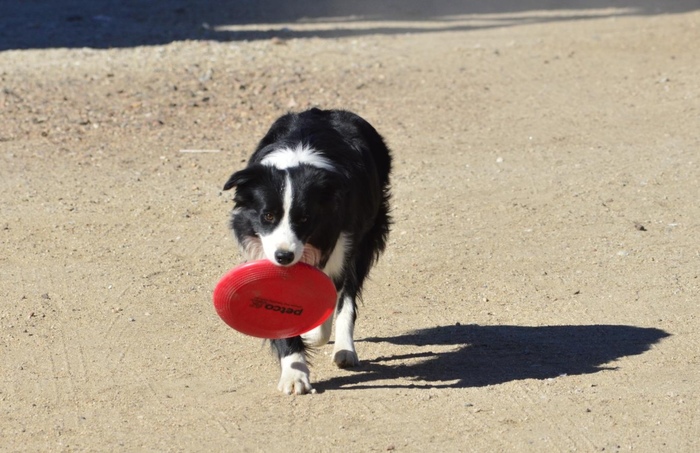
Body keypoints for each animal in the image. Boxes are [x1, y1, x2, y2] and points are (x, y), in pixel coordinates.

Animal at [223, 107, 392, 394]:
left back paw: (344, 349)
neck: (296, 161)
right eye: (268, 215)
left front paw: (314, 337)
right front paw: (294, 375)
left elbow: (330, 301)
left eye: (304, 219)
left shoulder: (337, 245)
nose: (284, 257)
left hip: (366, 236)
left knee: (348, 297)